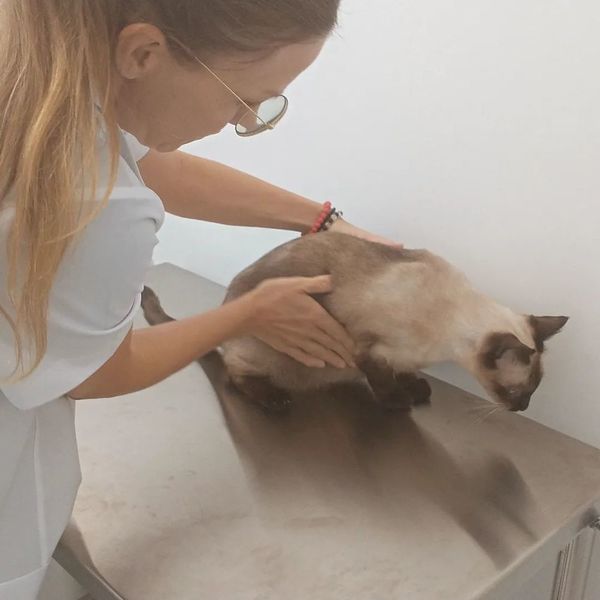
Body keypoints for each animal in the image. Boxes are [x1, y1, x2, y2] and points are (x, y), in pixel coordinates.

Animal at [142, 232, 568, 414]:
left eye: (534, 391)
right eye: (515, 392)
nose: (523, 409)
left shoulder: (402, 357)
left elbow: (405, 373)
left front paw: (416, 388)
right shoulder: (366, 349)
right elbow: (383, 381)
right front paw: (399, 402)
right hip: (262, 354)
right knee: (234, 376)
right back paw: (274, 398)